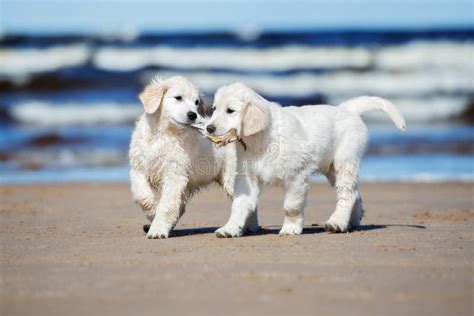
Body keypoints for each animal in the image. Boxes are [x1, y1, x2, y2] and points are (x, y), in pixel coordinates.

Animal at [130, 77, 254, 239]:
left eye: (196, 102)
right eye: (178, 98)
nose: (193, 115)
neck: (165, 132)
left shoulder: (175, 175)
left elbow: (166, 205)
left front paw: (157, 229)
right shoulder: (138, 168)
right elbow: (141, 195)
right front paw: (152, 212)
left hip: (231, 177)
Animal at [206, 83, 406, 237]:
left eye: (230, 111)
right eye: (214, 109)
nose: (209, 128)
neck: (259, 139)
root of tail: (345, 109)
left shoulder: (296, 175)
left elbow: (291, 206)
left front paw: (290, 228)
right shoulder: (247, 177)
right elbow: (239, 205)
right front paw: (230, 228)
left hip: (345, 161)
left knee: (347, 193)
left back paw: (337, 222)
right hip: (332, 169)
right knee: (355, 193)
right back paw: (350, 222)